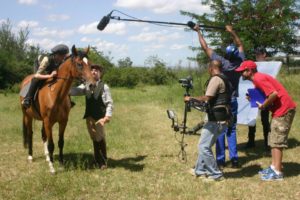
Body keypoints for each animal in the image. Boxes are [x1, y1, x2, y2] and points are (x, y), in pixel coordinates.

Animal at [19, 45, 95, 173]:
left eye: (89, 64)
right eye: (79, 64)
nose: (92, 85)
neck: (56, 94)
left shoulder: (63, 121)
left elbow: (60, 142)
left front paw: (60, 164)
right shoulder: (48, 121)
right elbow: (51, 144)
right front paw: (52, 168)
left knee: (43, 135)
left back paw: (47, 157)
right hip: (27, 116)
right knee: (30, 134)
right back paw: (30, 157)